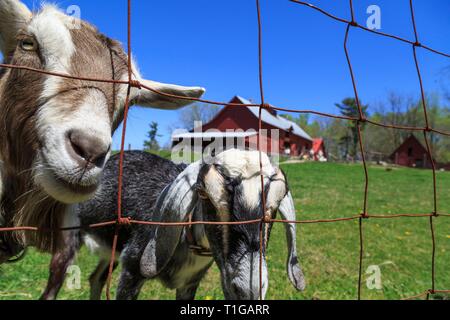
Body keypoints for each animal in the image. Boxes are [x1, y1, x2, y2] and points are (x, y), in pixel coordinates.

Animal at [41, 150, 306, 300]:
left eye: (273, 209)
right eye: (203, 194)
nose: (249, 290)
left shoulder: (190, 283)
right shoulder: (132, 269)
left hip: (111, 250)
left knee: (95, 278)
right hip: (68, 239)